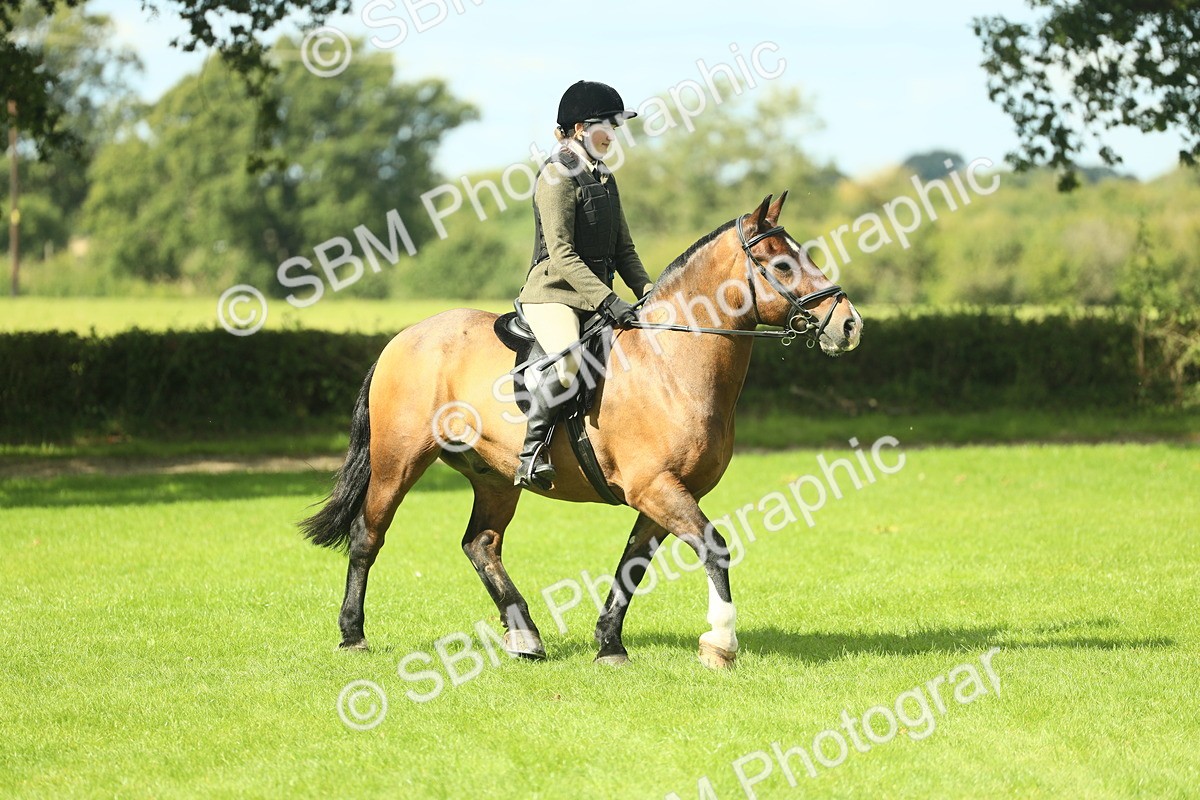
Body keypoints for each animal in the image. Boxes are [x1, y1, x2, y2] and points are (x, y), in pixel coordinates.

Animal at [300, 192, 862, 670]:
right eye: (783, 265)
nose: (850, 325)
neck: (670, 360)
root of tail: (403, 338)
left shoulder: (665, 493)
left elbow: (632, 566)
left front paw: (609, 644)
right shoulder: (656, 487)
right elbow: (714, 547)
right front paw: (720, 645)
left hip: (494, 477)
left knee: (481, 544)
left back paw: (524, 635)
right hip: (398, 462)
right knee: (368, 535)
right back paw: (353, 634)